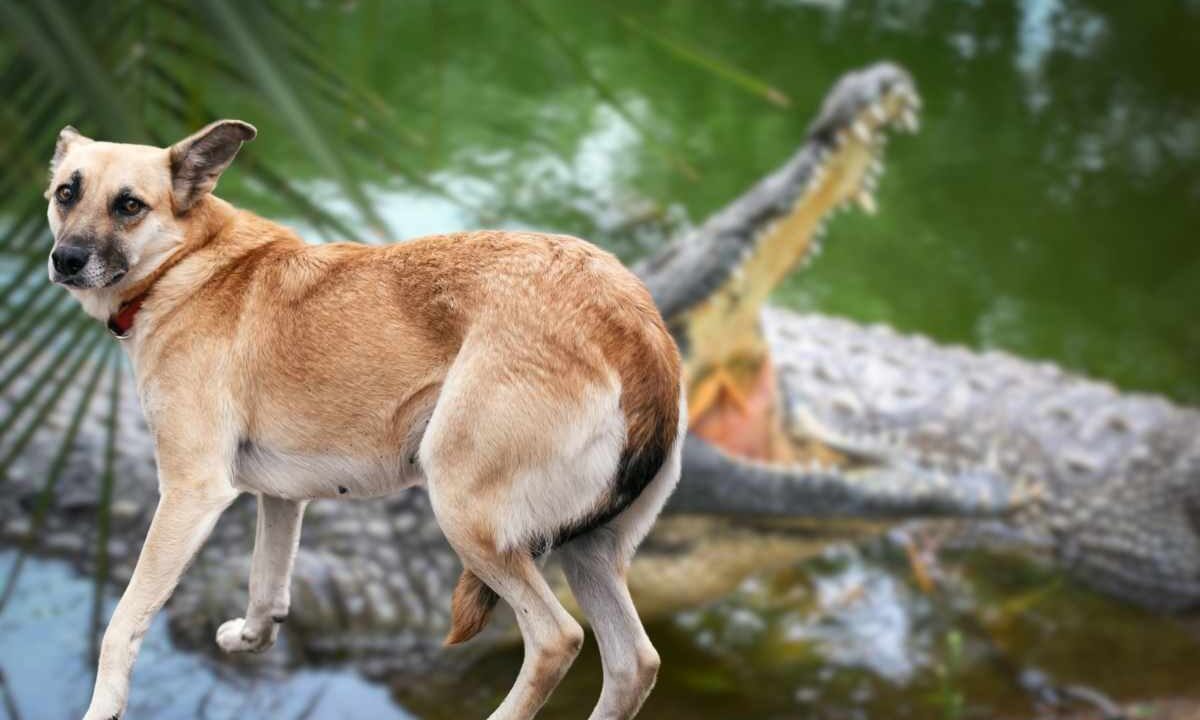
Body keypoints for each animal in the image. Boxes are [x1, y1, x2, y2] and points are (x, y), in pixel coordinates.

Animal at [44, 121, 686, 715]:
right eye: (66, 193)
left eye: (129, 205)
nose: (64, 260)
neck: (187, 264)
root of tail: (638, 329)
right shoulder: (281, 499)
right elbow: (266, 583)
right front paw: (253, 636)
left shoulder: (189, 492)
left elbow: (123, 621)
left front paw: (104, 706)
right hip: (590, 553)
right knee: (633, 664)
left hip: (466, 513)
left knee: (557, 639)